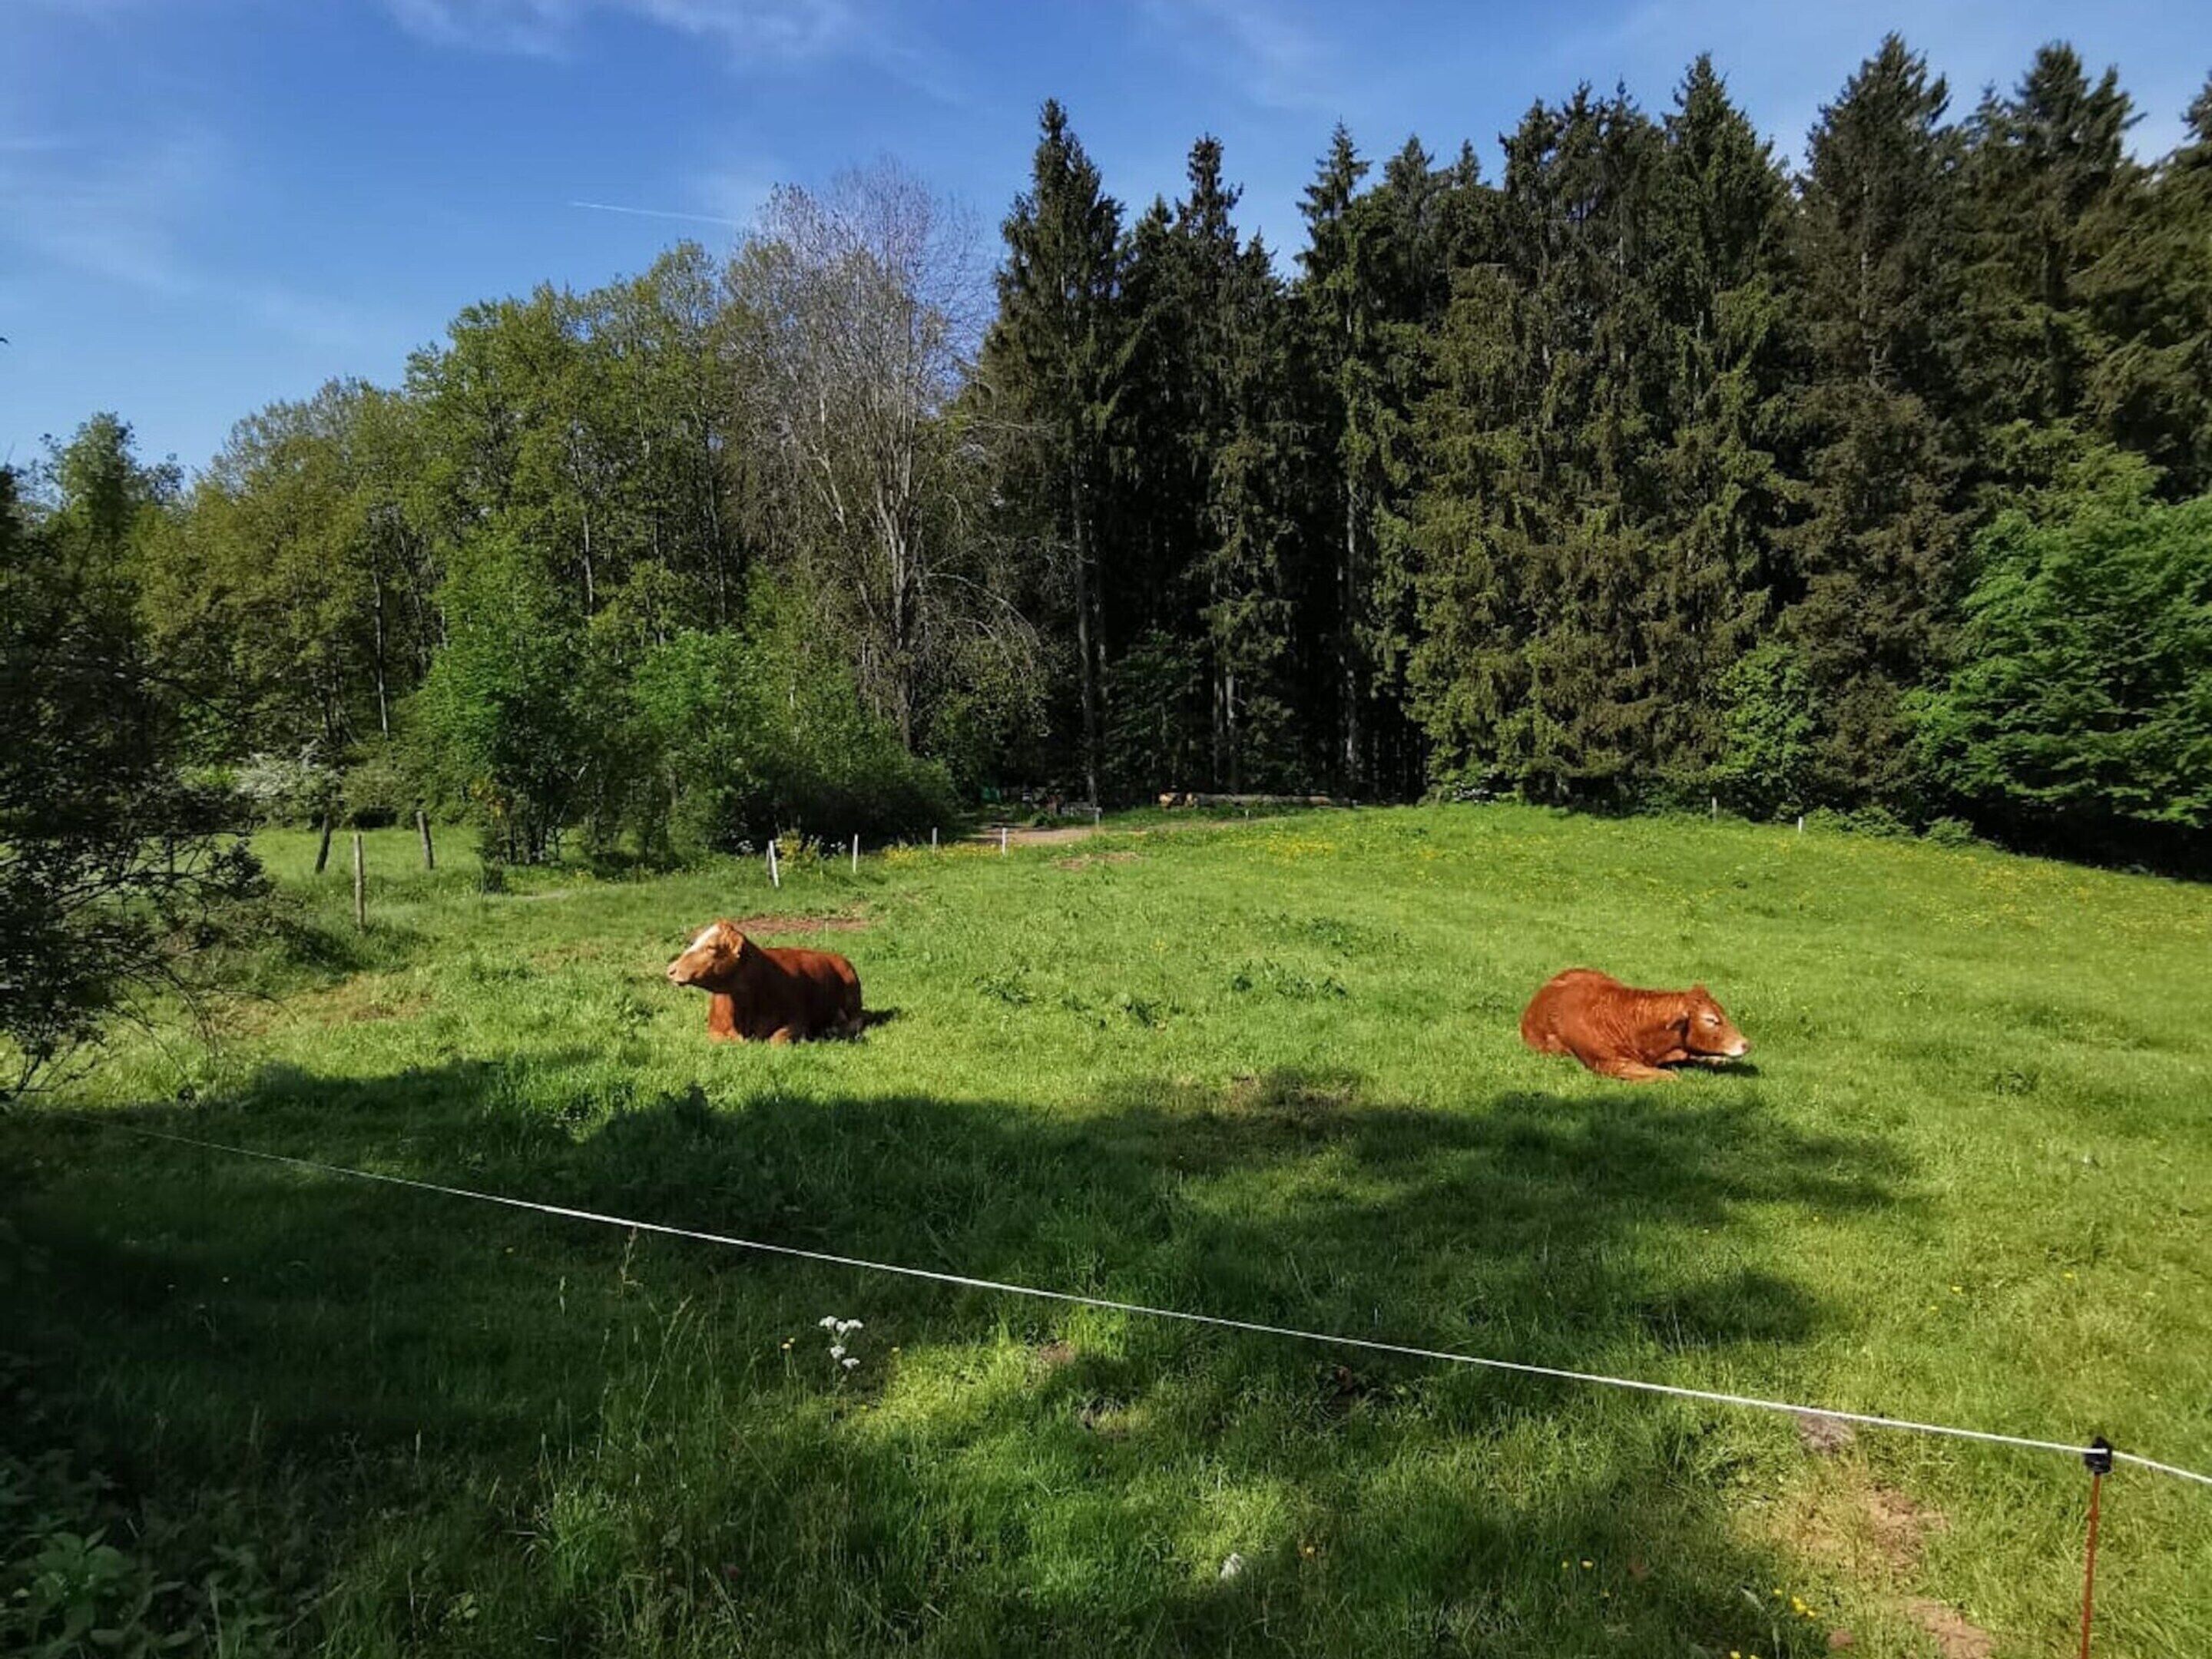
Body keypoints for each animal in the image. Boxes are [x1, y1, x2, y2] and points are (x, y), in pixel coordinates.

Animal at [665, 919, 864, 1043]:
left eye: (712, 947)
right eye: (694, 942)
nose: (671, 970)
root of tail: (836, 957)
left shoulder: (799, 1022)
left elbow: (776, 1039)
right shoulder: (714, 1029)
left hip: (853, 999)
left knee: (856, 1021)